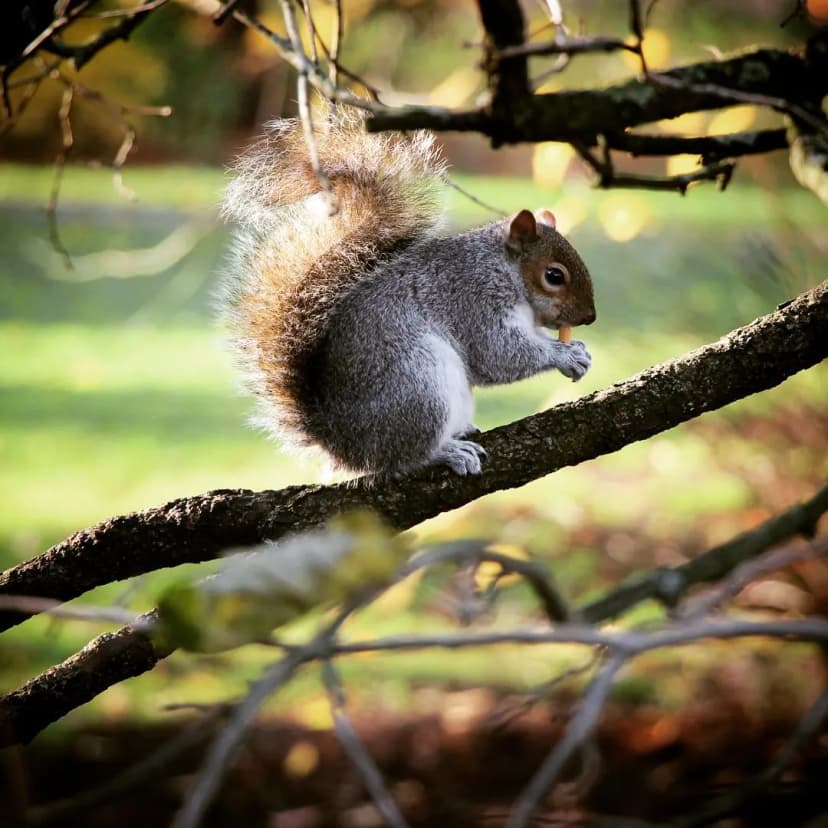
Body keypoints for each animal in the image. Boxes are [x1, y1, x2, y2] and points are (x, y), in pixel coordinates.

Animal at [220, 116, 596, 477]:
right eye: (554, 276)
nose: (589, 318)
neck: (506, 270)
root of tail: (343, 445)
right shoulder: (473, 298)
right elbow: (498, 354)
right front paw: (564, 355)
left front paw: (579, 349)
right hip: (417, 384)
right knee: (402, 459)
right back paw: (446, 453)